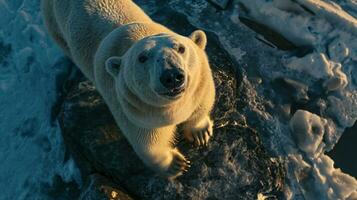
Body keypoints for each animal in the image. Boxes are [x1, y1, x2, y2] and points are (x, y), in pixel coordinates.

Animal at [41, 0, 214, 178]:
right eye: (142, 58)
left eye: (181, 48)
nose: (171, 76)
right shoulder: (133, 109)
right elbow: (148, 143)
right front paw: (176, 165)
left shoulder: (200, 86)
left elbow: (201, 105)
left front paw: (200, 133)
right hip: (54, 24)